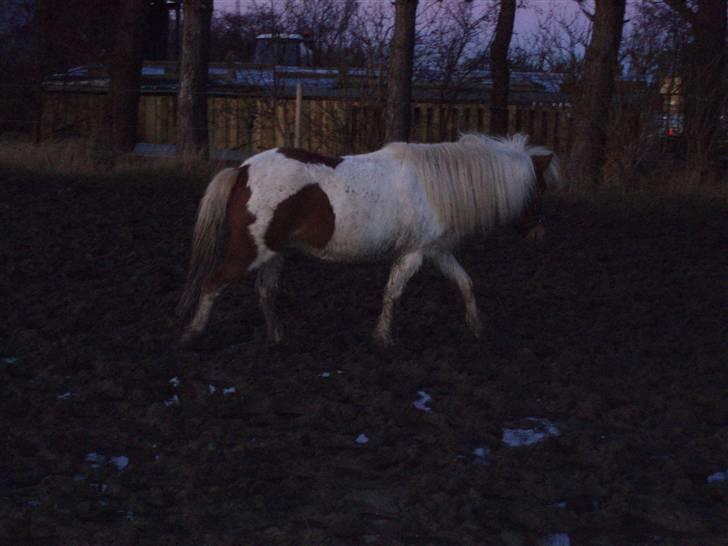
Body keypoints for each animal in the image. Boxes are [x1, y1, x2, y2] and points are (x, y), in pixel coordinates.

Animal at [178, 133, 564, 344]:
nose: (539, 233)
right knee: (213, 284)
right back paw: (193, 333)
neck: (434, 185)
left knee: (265, 292)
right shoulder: (413, 254)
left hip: (274, 253)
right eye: (540, 190)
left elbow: (465, 283)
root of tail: (242, 171)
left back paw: (276, 337)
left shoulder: (437, 251)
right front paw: (383, 338)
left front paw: (477, 327)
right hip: (249, 252)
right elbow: (392, 293)